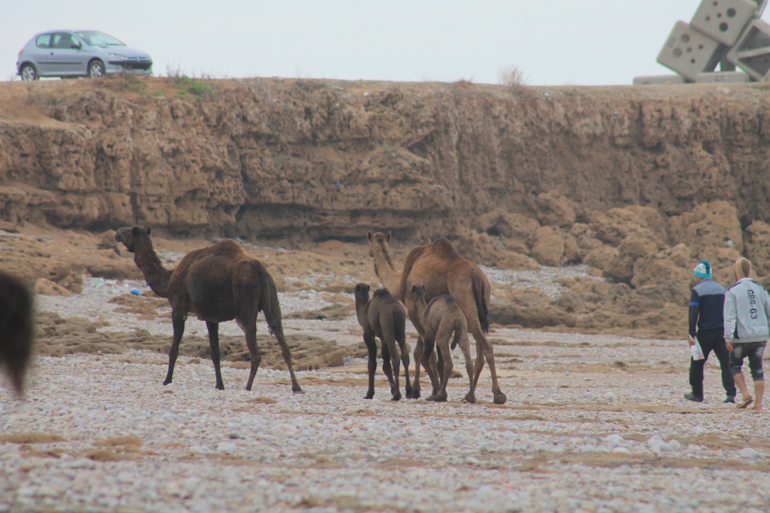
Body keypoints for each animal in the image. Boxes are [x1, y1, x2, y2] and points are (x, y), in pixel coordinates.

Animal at [115, 226, 302, 394]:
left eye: (128, 231)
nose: (116, 233)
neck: (168, 280)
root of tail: (261, 271)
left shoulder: (178, 308)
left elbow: (174, 349)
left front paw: (167, 381)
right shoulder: (211, 316)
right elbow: (215, 352)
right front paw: (220, 385)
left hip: (245, 303)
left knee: (255, 351)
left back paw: (247, 387)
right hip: (273, 299)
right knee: (283, 341)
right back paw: (296, 387)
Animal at [367, 231, 506, 404]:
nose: (369, 253)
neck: (399, 280)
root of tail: (477, 277)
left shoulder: (412, 310)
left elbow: (426, 353)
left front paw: (429, 391)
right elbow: (422, 352)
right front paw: (420, 390)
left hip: (464, 300)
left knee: (486, 345)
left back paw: (497, 394)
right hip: (484, 305)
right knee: (479, 349)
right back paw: (469, 394)